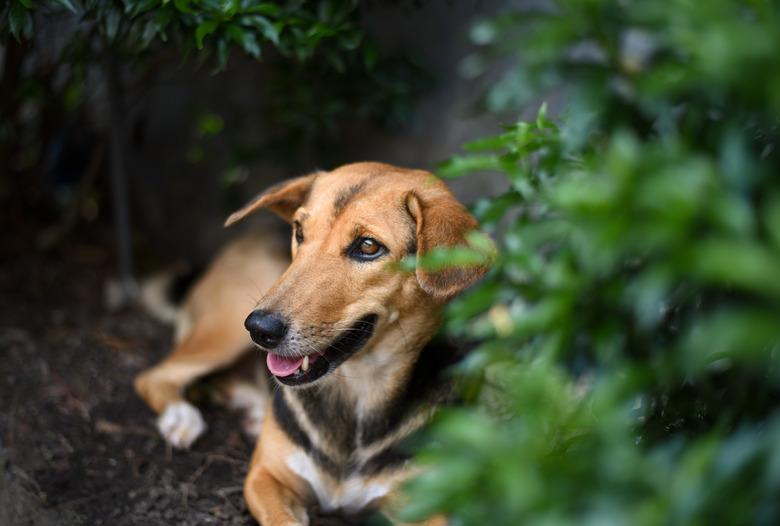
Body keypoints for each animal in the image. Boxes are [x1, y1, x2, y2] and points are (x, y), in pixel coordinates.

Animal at [133, 163, 488, 524]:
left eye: (368, 246)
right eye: (299, 231)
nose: (259, 329)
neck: (358, 390)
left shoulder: (430, 507)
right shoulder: (264, 477)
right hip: (227, 325)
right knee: (154, 375)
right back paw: (181, 417)